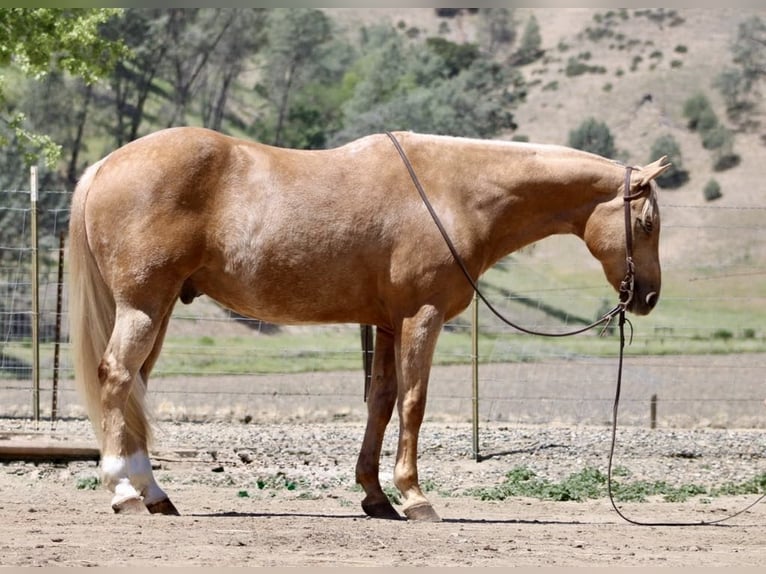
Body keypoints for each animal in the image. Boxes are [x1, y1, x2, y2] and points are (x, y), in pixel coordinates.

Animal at [68, 127, 670, 521]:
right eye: (646, 222)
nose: (648, 297)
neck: (453, 192)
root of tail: (106, 165)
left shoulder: (386, 324)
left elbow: (381, 402)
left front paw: (376, 496)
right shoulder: (420, 317)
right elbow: (414, 402)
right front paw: (416, 497)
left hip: (161, 307)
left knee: (135, 384)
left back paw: (153, 493)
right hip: (144, 304)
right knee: (118, 376)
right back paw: (124, 492)